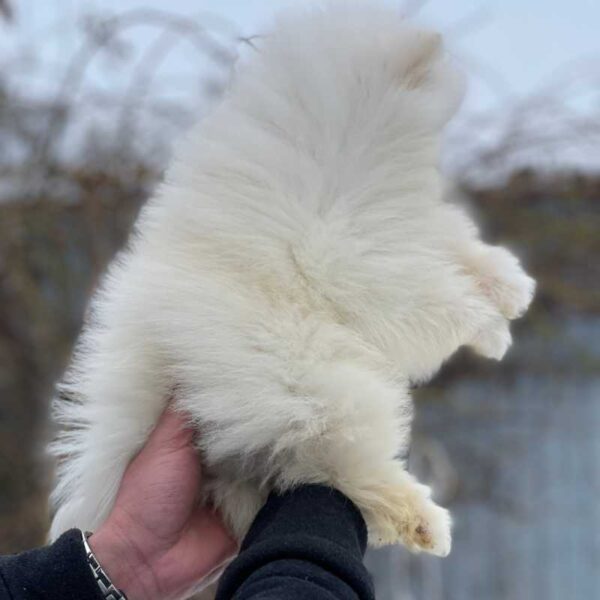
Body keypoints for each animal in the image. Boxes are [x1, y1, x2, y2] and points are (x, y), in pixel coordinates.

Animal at [48, 2, 536, 560]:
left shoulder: (409, 228)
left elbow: (461, 250)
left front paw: (510, 290)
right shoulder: (357, 263)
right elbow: (438, 297)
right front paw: (491, 328)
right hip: (325, 395)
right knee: (346, 470)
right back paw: (425, 522)